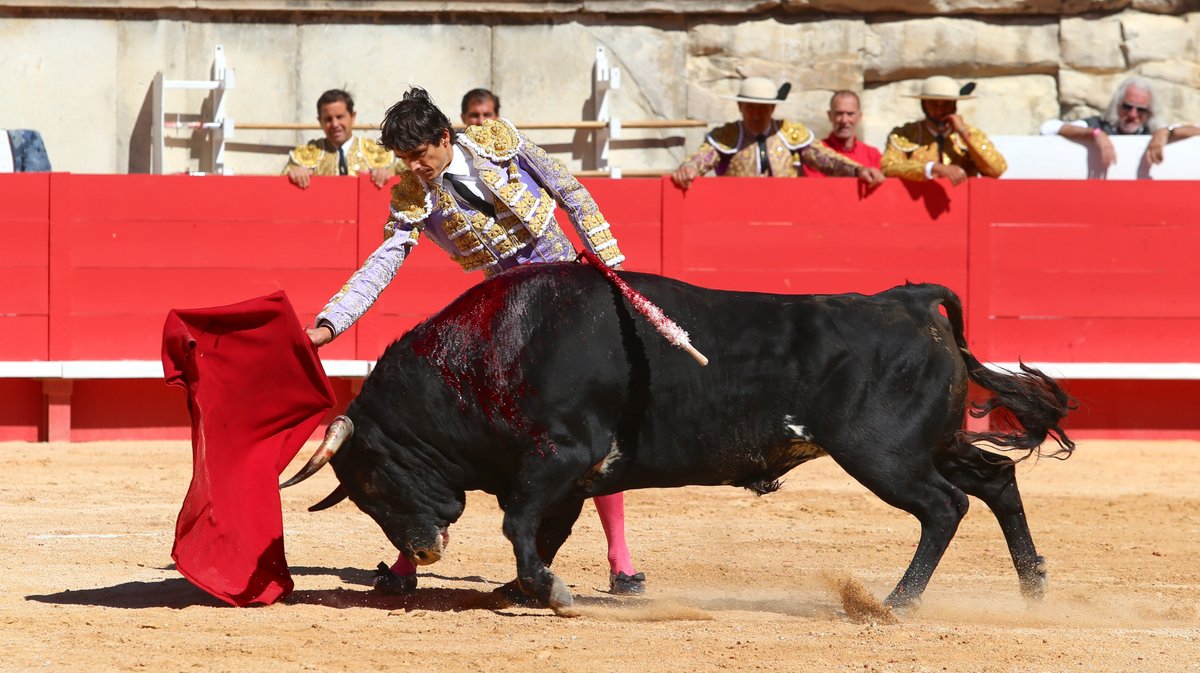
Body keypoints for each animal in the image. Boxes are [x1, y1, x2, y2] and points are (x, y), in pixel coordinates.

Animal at [283, 262, 1080, 614]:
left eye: (372, 480)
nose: (421, 550)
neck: (491, 356)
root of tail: (908, 300)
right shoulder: (569, 475)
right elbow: (542, 532)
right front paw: (527, 587)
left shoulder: (559, 458)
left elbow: (520, 524)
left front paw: (554, 593)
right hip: (927, 444)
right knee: (995, 481)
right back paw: (1034, 585)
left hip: (884, 455)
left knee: (945, 507)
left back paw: (895, 601)